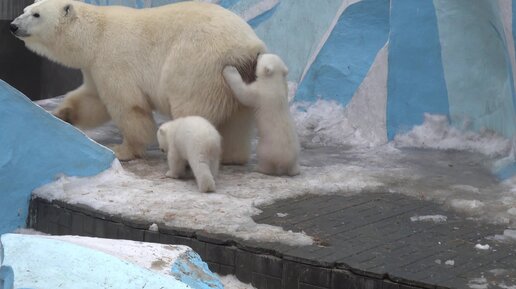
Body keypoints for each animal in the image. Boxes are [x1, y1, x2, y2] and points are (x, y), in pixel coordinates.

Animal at [12, 0, 266, 162]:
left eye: (36, 14)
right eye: (25, 9)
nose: (13, 25)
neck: (95, 35)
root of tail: (249, 48)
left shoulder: (114, 58)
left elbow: (127, 105)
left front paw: (124, 150)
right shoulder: (94, 66)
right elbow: (93, 99)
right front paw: (64, 114)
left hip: (199, 63)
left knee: (190, 105)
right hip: (236, 80)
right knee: (237, 121)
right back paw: (232, 156)